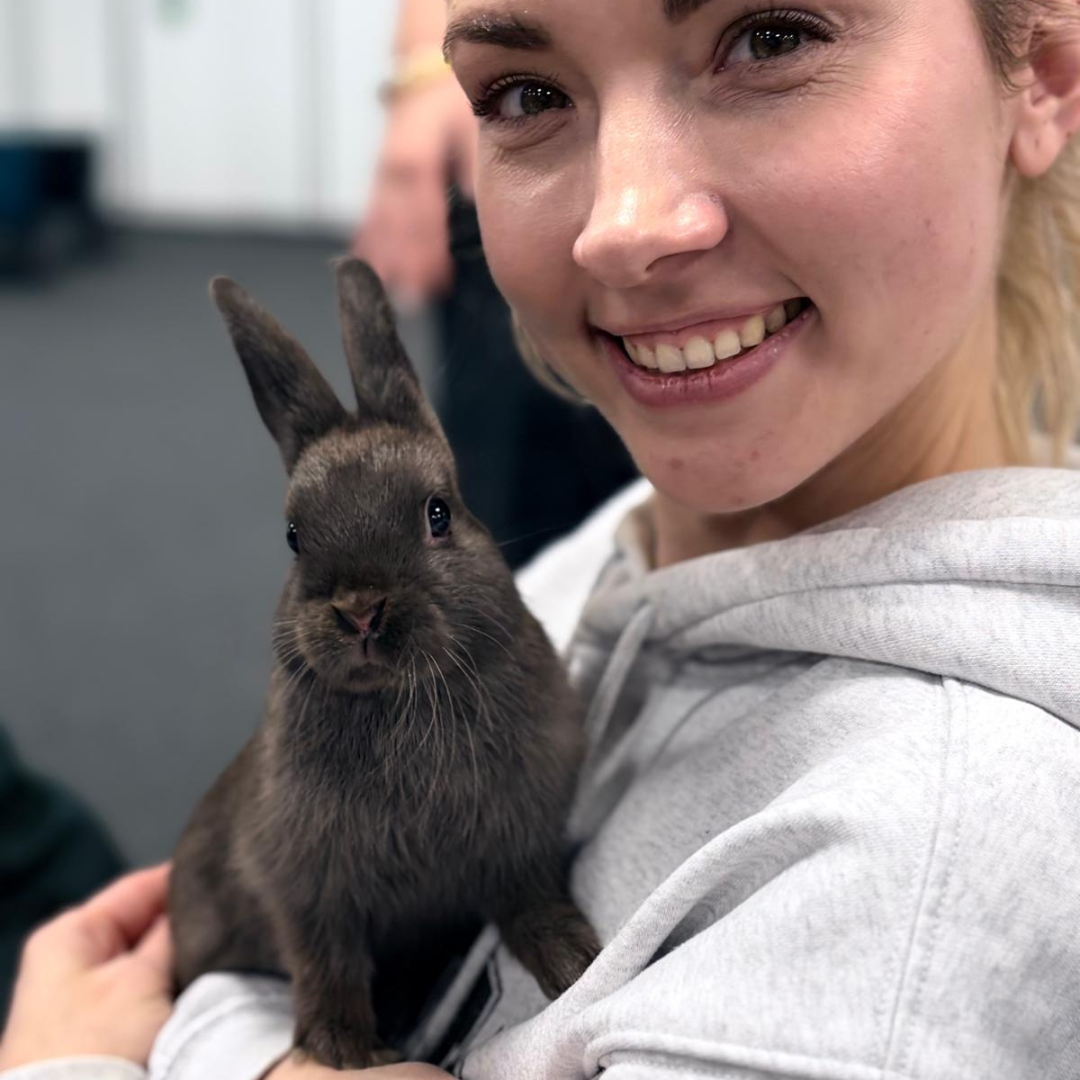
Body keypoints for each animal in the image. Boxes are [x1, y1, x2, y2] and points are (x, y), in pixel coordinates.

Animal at [167, 257, 602, 1070]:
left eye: (438, 514)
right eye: (294, 537)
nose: (361, 611)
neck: (400, 700)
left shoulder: (517, 844)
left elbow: (530, 901)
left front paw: (574, 961)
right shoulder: (306, 886)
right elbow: (326, 957)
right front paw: (343, 1047)